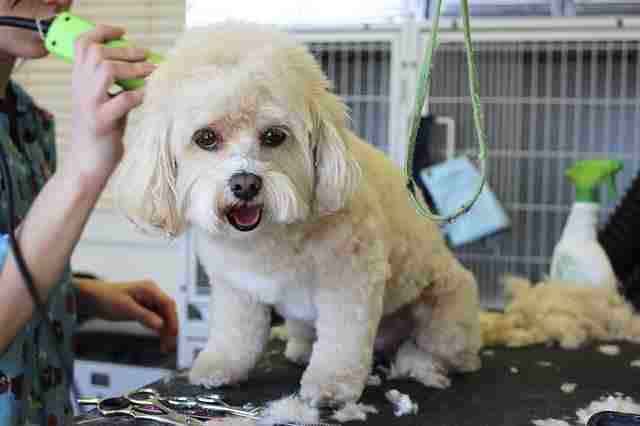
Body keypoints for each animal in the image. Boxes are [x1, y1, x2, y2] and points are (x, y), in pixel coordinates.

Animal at [117, 21, 482, 408]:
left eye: (274, 136)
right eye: (205, 138)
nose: (245, 184)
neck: (268, 237)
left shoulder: (351, 280)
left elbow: (342, 339)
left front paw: (331, 385)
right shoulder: (235, 286)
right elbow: (236, 332)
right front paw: (220, 366)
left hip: (445, 310)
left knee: (449, 352)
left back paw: (421, 362)